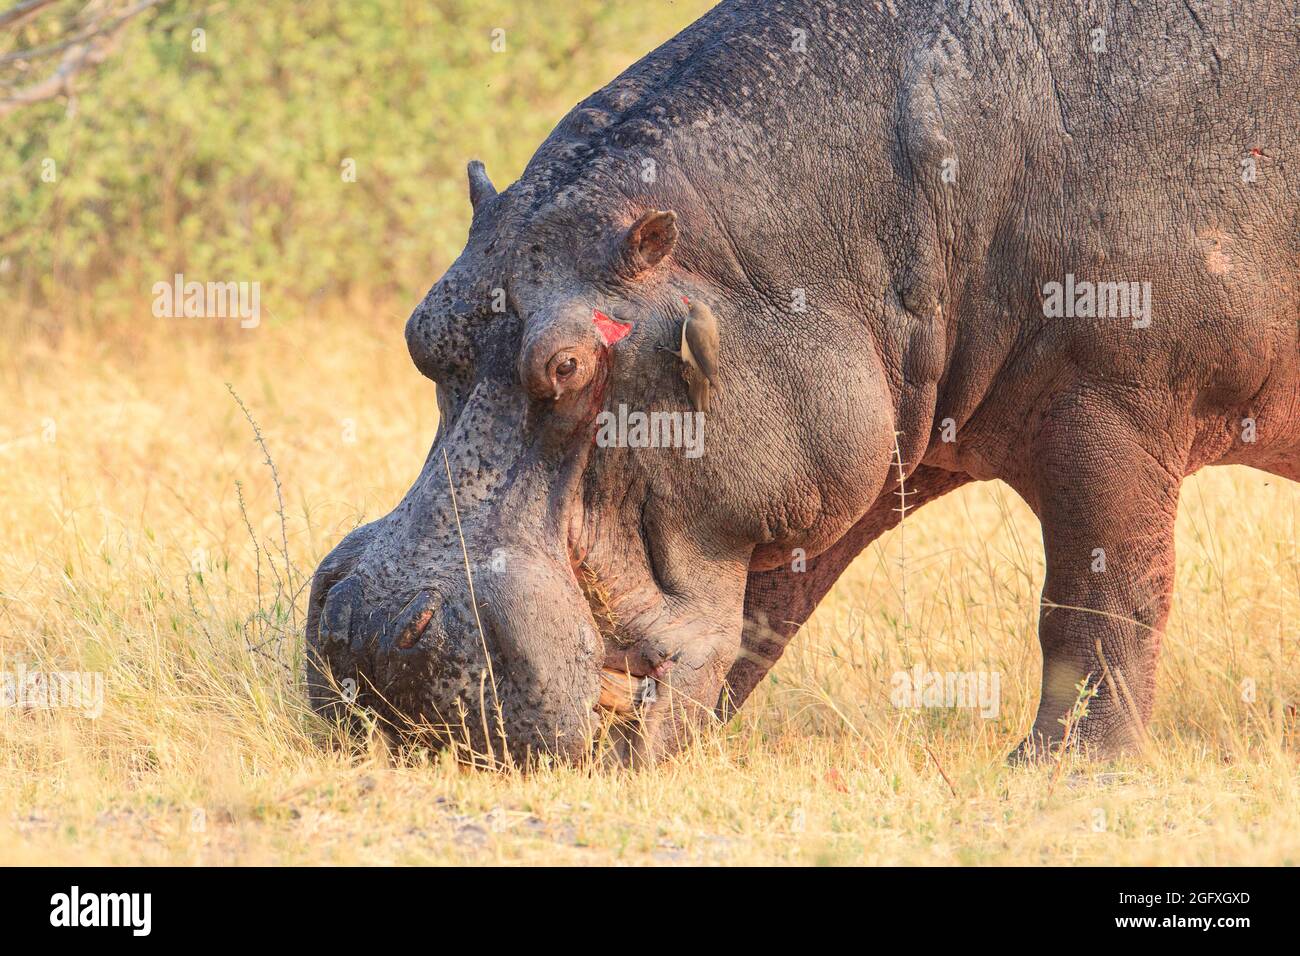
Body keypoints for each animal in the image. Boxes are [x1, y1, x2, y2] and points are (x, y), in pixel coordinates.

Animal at [309, 0, 1300, 764]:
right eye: (420, 327)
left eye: (569, 364)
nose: (373, 633)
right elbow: (764, 611)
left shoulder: (1118, 401)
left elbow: (1100, 598)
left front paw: (1061, 770)